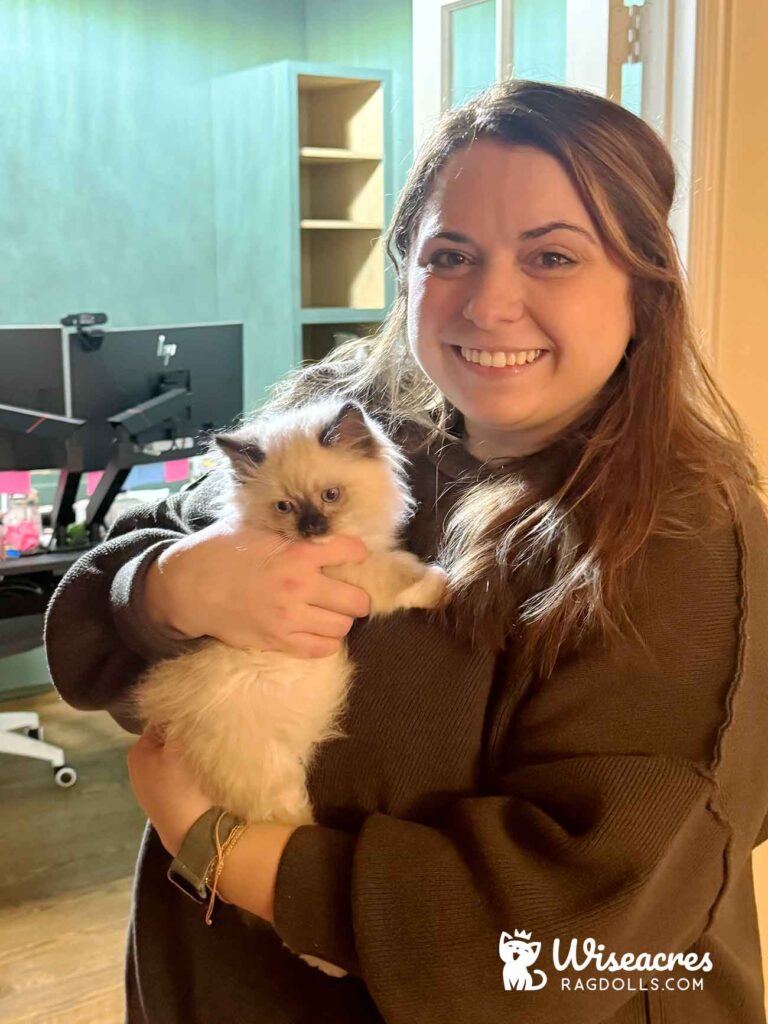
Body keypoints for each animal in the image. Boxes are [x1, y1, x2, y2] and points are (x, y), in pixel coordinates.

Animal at [118, 397, 448, 974]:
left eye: (330, 496)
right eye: (285, 508)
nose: (314, 526)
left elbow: (399, 561)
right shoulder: (357, 577)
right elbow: (403, 576)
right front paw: (444, 585)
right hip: (282, 795)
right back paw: (328, 966)